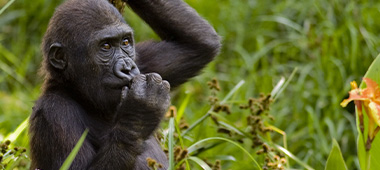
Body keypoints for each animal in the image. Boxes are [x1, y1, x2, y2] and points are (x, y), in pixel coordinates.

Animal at [29, 0, 220, 169]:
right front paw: (139, 115)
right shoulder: (55, 113)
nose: (127, 68)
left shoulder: (141, 61)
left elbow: (200, 46)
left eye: (125, 42)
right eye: (105, 46)